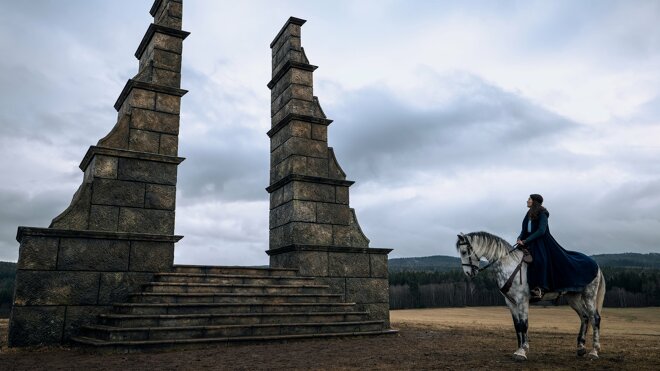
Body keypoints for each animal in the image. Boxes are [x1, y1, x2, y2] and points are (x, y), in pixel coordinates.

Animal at [456, 231, 604, 362]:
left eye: (464, 252)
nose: (469, 273)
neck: (509, 265)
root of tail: (596, 264)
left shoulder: (522, 300)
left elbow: (524, 324)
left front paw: (522, 351)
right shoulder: (511, 302)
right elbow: (517, 326)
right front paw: (518, 349)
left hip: (589, 295)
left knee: (595, 318)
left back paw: (594, 351)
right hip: (573, 298)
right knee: (584, 317)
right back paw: (581, 348)